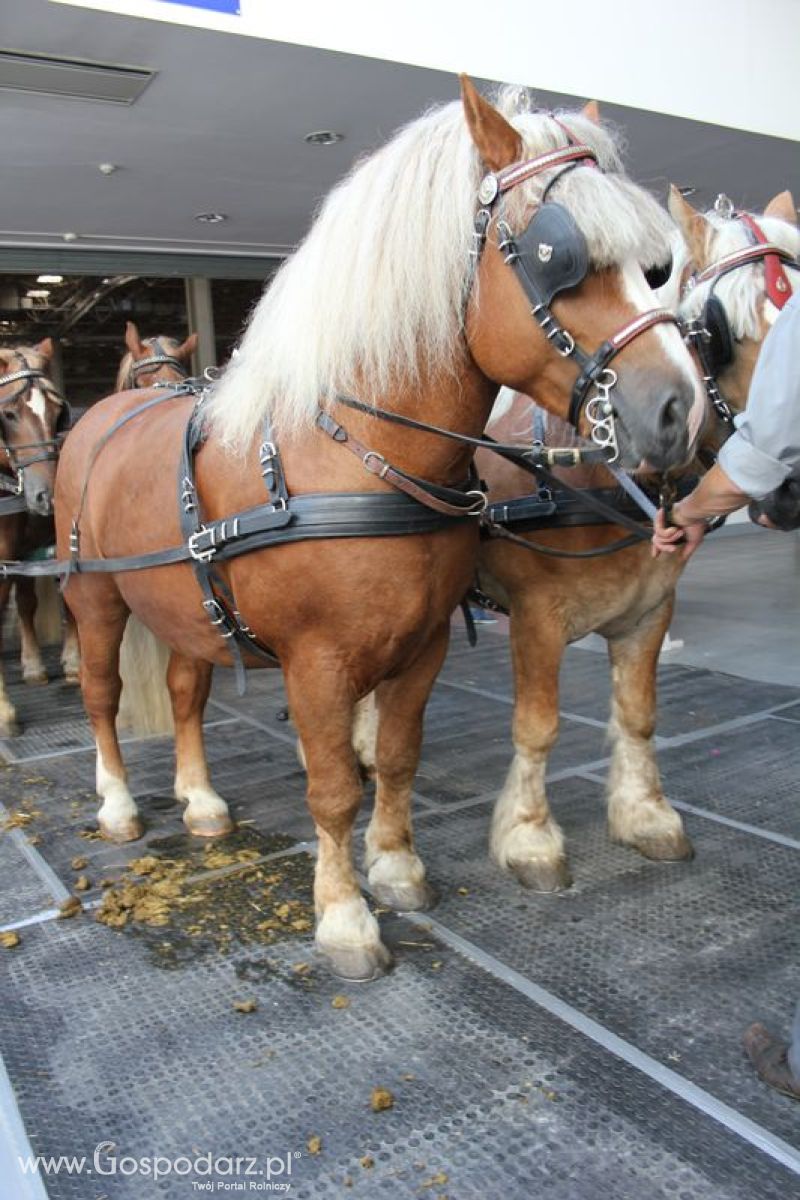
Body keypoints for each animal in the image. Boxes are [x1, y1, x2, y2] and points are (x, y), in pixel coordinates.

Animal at [54, 79, 700, 979]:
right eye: (555, 255)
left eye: (657, 266)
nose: (679, 411)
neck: (356, 457)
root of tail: (104, 411)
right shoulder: (320, 662)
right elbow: (332, 789)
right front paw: (345, 917)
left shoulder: (424, 644)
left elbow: (395, 757)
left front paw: (395, 869)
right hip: (98, 600)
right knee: (102, 694)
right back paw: (118, 804)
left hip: (184, 607)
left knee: (186, 692)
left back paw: (202, 799)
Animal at [474, 182, 800, 888]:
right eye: (717, 334)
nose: (790, 485)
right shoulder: (535, 619)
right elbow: (537, 726)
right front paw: (529, 837)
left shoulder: (649, 612)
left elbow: (639, 714)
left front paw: (646, 815)